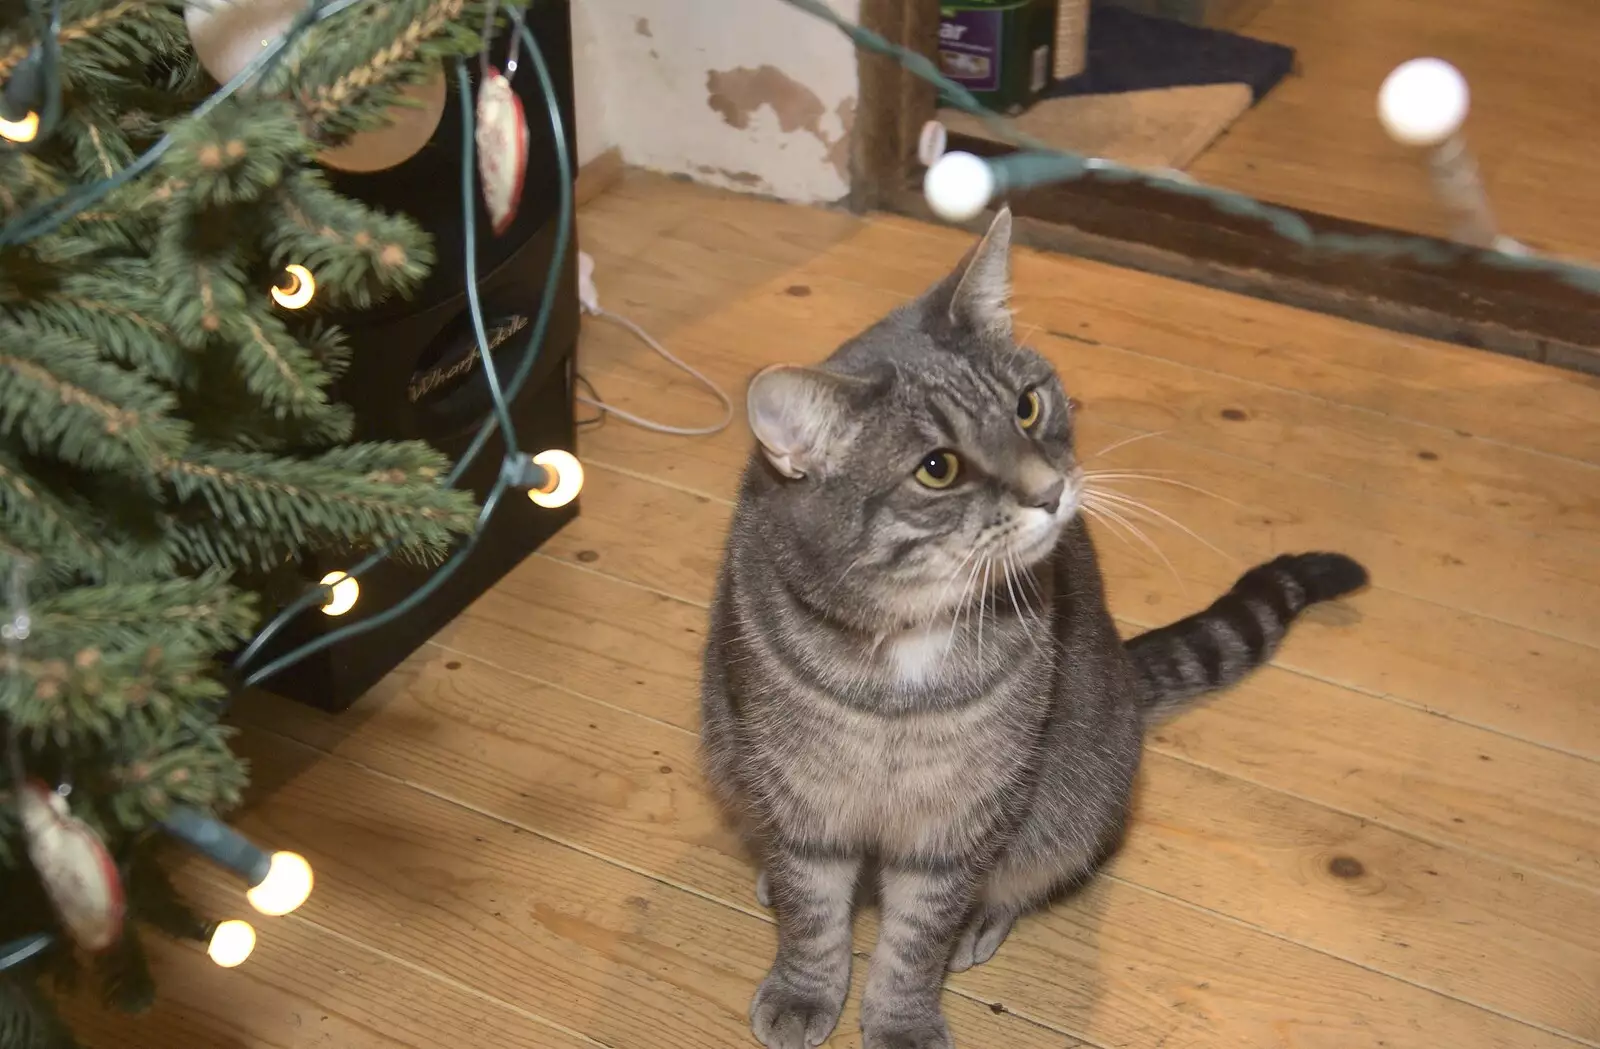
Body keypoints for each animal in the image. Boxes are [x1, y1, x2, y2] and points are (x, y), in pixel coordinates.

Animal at [700, 206, 1363, 1049]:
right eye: (938, 468)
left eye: (1027, 405)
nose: (1051, 492)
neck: (910, 633)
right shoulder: (801, 791)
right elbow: (813, 910)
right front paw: (804, 986)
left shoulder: (967, 812)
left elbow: (917, 937)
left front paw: (903, 1017)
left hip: (1075, 798)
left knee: (1026, 872)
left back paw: (983, 920)